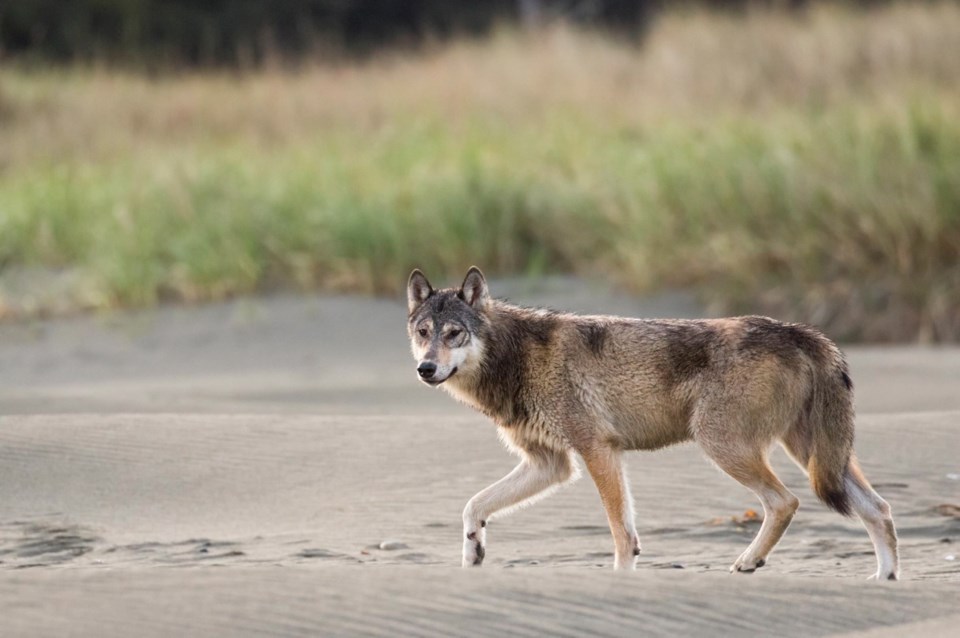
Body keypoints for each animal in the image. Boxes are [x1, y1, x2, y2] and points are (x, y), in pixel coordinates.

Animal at [404, 264, 900, 580]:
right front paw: (473, 554)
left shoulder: (597, 451)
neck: (517, 358)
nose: (425, 369)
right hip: (816, 458)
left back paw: (747, 562)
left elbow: (622, 535)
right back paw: (884, 580)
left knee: (785, 502)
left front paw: (622, 582)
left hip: (726, 447)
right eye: (423, 333)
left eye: (454, 334)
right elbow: (473, 506)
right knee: (879, 510)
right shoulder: (552, 465)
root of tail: (802, 332)